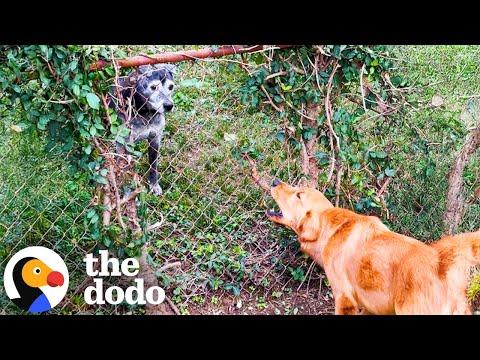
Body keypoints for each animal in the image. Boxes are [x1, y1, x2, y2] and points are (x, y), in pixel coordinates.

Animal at [111, 63, 177, 195]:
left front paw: (154, 185)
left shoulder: (155, 139)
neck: (146, 114)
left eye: (171, 87)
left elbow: (153, 165)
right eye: (153, 87)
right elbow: (128, 166)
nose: (169, 106)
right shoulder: (126, 143)